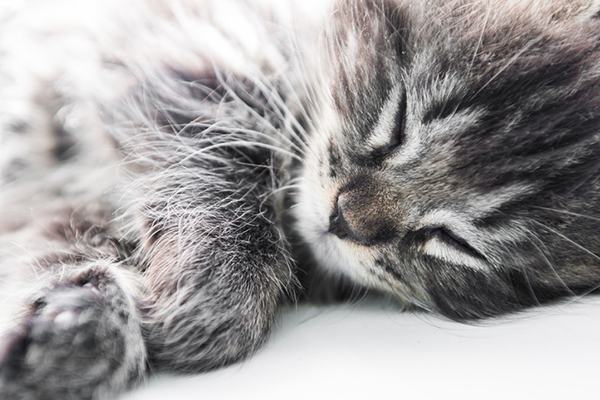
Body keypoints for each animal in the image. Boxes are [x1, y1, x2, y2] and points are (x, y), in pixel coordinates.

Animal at [1, 0, 600, 398]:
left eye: (457, 243)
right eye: (402, 118)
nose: (346, 220)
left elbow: (62, 249)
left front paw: (77, 332)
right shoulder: (190, 52)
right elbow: (219, 166)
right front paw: (211, 289)